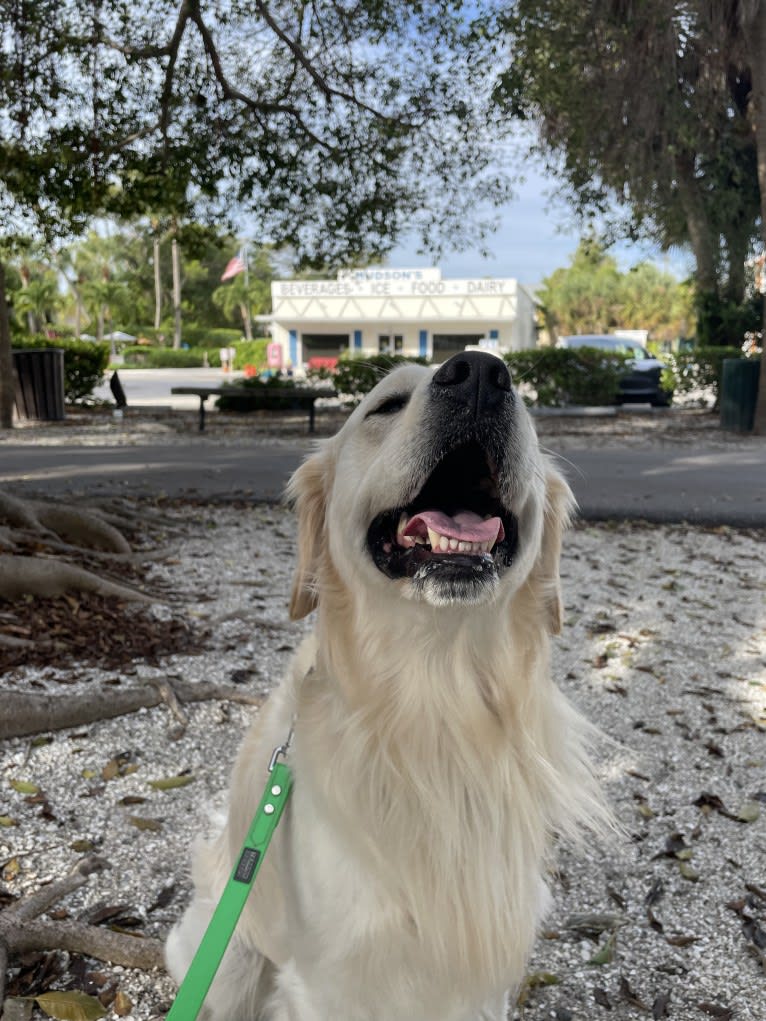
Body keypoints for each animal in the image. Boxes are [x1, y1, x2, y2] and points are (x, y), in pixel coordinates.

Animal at [166, 351, 604, 1021]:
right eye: (386, 406)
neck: (436, 698)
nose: (481, 375)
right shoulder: (329, 980)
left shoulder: (483, 973)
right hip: (231, 963)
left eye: (526, 405)